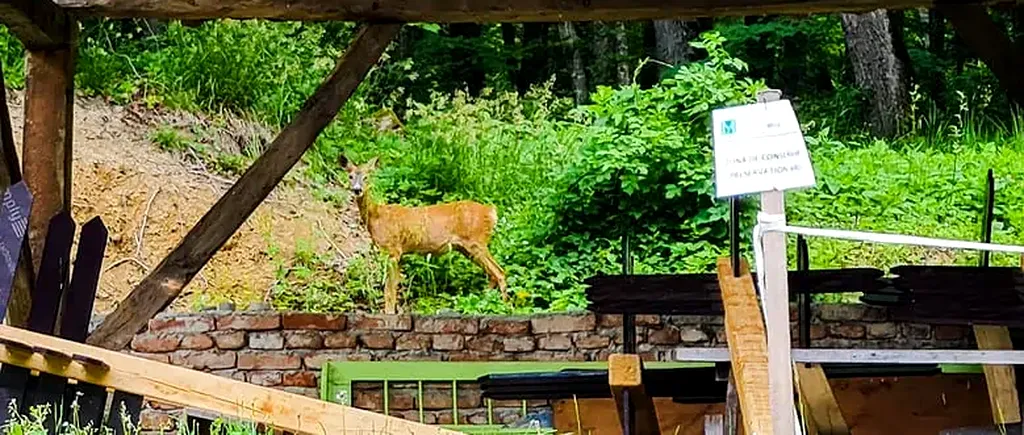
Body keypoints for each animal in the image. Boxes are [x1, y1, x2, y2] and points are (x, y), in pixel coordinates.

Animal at [339, 155, 507, 311]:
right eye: (350, 176)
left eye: (366, 177)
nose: (357, 189)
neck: (376, 216)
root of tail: (491, 212)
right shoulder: (398, 254)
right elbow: (395, 286)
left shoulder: (393, 250)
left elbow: (389, 290)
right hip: (467, 248)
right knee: (493, 274)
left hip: (476, 242)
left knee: (500, 272)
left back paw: (505, 306)